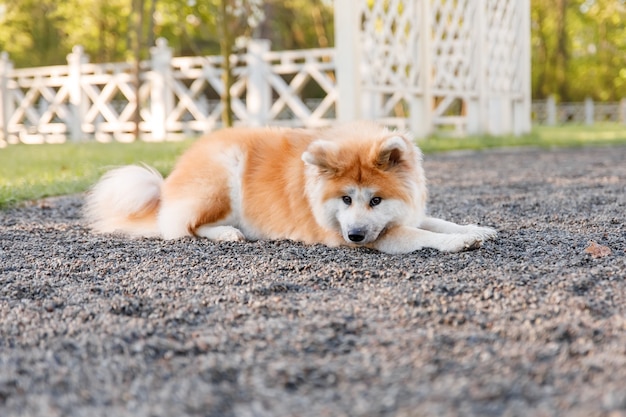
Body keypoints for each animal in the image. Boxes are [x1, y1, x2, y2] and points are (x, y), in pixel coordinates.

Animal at [84, 121, 492, 254]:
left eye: (376, 199)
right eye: (346, 199)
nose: (356, 235)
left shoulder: (402, 213)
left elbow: (435, 221)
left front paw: (476, 229)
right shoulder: (375, 236)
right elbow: (420, 234)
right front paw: (457, 242)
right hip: (222, 179)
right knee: (182, 228)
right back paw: (227, 233)